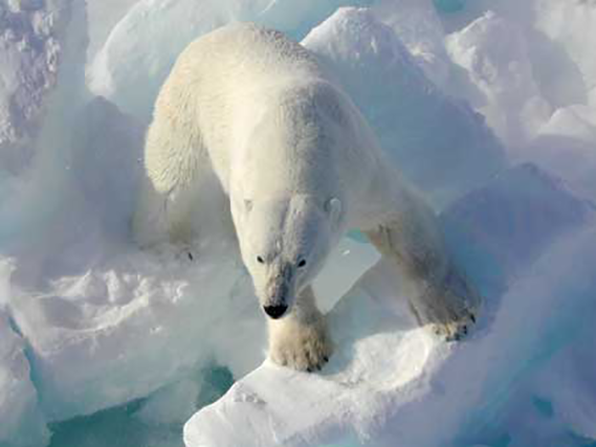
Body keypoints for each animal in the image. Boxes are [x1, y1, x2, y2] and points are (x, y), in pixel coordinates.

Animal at [133, 24, 482, 372]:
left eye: (302, 260)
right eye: (259, 257)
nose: (274, 306)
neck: (294, 142)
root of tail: (218, 31)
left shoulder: (358, 172)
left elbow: (401, 225)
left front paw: (452, 317)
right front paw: (302, 351)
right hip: (185, 102)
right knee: (169, 176)